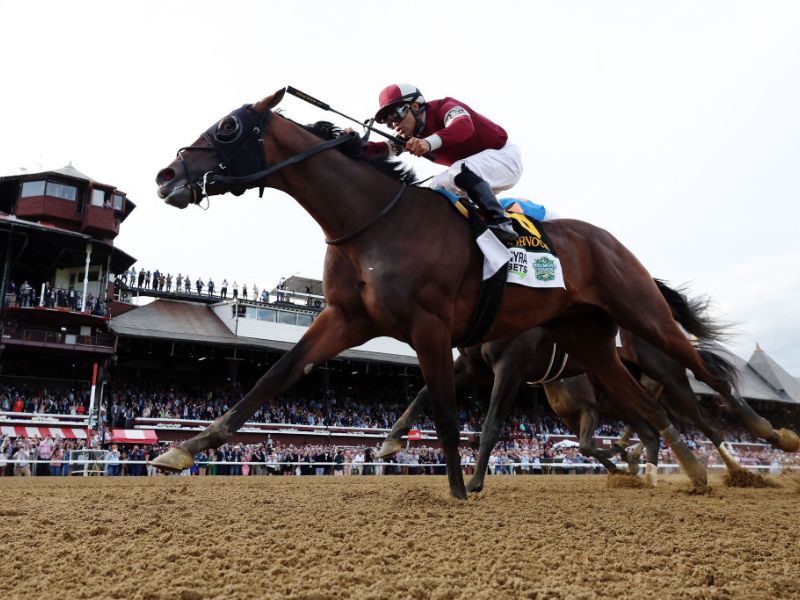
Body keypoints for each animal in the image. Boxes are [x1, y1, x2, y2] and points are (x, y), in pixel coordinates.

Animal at [153, 86, 796, 494]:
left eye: (228, 127)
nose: (167, 174)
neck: (373, 220)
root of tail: (609, 241)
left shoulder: (434, 328)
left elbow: (446, 409)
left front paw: (461, 491)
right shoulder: (345, 318)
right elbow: (274, 376)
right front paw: (180, 449)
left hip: (643, 316)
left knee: (707, 385)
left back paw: (768, 440)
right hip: (589, 344)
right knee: (646, 411)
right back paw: (692, 473)